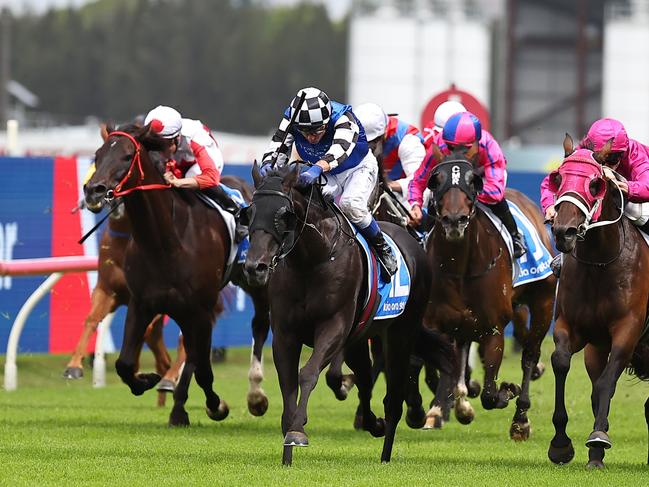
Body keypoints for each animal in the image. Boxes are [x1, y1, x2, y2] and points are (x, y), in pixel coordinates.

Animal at [82, 125, 232, 428]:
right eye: (98, 154)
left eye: (127, 156)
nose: (93, 190)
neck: (165, 243)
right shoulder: (141, 303)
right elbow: (124, 363)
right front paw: (146, 379)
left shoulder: (201, 310)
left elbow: (203, 368)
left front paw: (216, 405)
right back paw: (176, 407)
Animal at [416, 147, 556, 440]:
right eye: (436, 180)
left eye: (474, 180)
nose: (454, 220)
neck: (460, 268)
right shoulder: (439, 325)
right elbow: (448, 370)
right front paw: (448, 408)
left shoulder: (494, 329)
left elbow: (491, 394)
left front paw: (507, 390)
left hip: (543, 302)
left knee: (529, 354)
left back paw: (521, 418)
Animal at [548, 135, 648, 468]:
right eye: (558, 178)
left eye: (595, 184)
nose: (563, 232)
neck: (600, 264)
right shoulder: (573, 327)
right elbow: (562, 362)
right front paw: (561, 444)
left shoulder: (628, 330)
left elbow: (607, 382)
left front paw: (598, 436)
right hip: (595, 347)